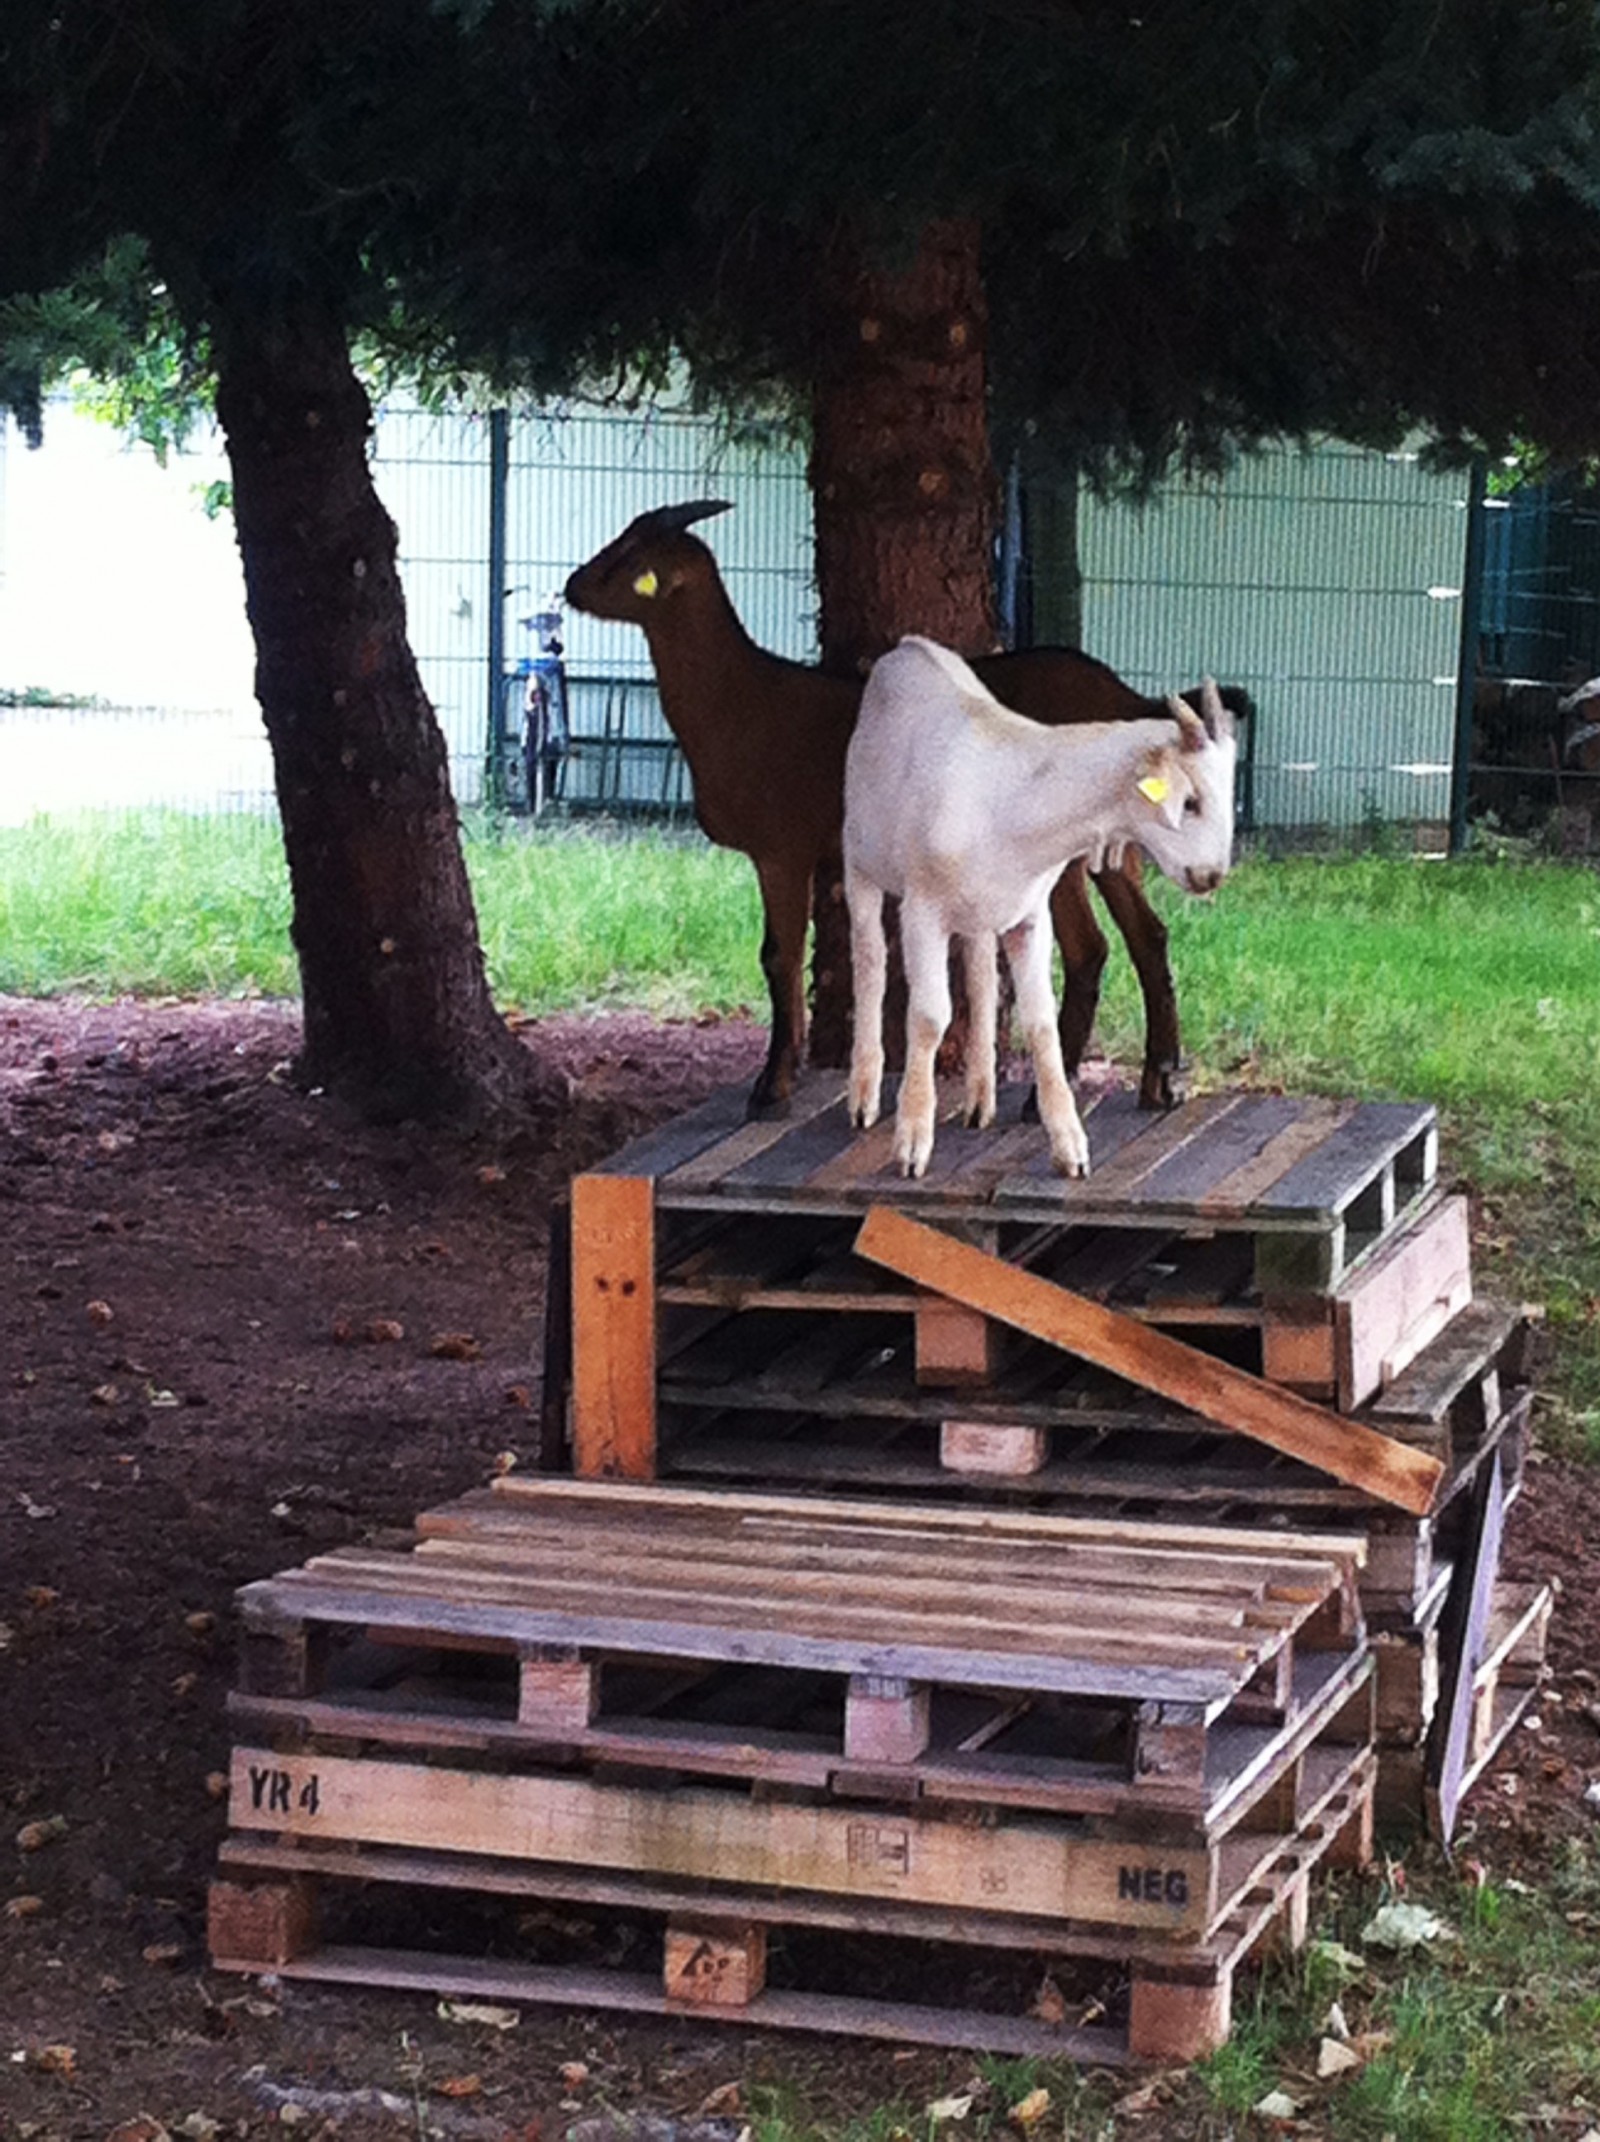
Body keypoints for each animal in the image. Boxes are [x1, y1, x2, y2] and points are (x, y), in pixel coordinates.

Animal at [561, 494, 1242, 1113]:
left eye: (629, 557)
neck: (742, 699)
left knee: (1102, 943)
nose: (570, 587)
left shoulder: (781, 848)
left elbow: (778, 957)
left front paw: (771, 1087)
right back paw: (1150, 1083)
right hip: (1111, 844)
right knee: (1134, 938)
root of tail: (1127, 696)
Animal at [852, 634, 1242, 1182]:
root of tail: (909, 646)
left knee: (981, 971)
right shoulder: (922, 911)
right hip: (859, 861)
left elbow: (1039, 1021)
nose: (1210, 875)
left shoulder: (1030, 917)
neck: (1012, 797)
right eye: (1189, 802)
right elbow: (928, 1016)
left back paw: (981, 1100)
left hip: (986, 909)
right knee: (868, 960)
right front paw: (912, 1143)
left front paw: (1070, 1146)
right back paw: (863, 1097)